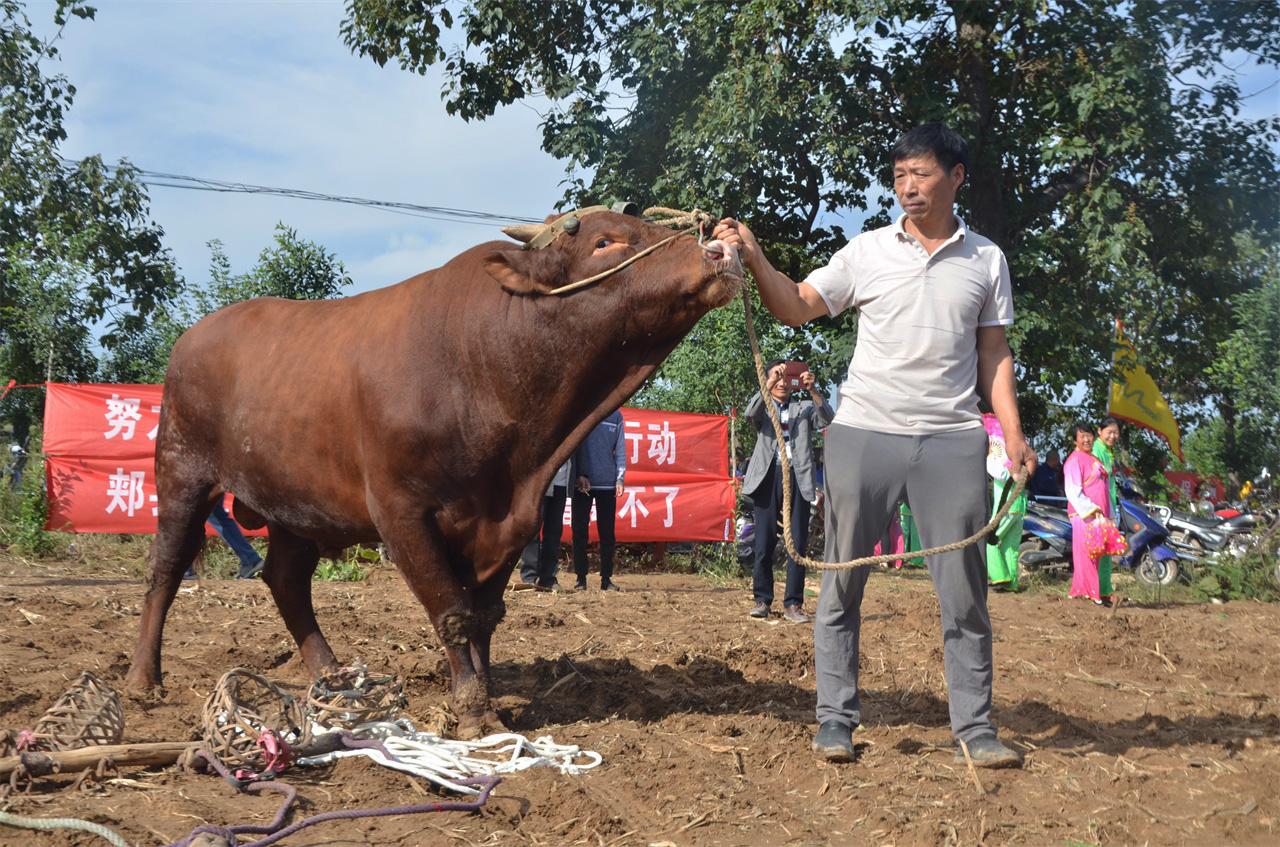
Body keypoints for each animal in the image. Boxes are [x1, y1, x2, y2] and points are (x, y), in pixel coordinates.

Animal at [122, 211, 742, 736]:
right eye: (604, 241)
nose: (717, 246)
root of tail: (194, 336)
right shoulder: (401, 512)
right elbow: (451, 610)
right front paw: (471, 708)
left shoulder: (508, 519)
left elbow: (485, 613)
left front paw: (486, 693)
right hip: (182, 471)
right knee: (166, 568)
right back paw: (143, 679)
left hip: (295, 502)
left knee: (287, 580)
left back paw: (332, 676)